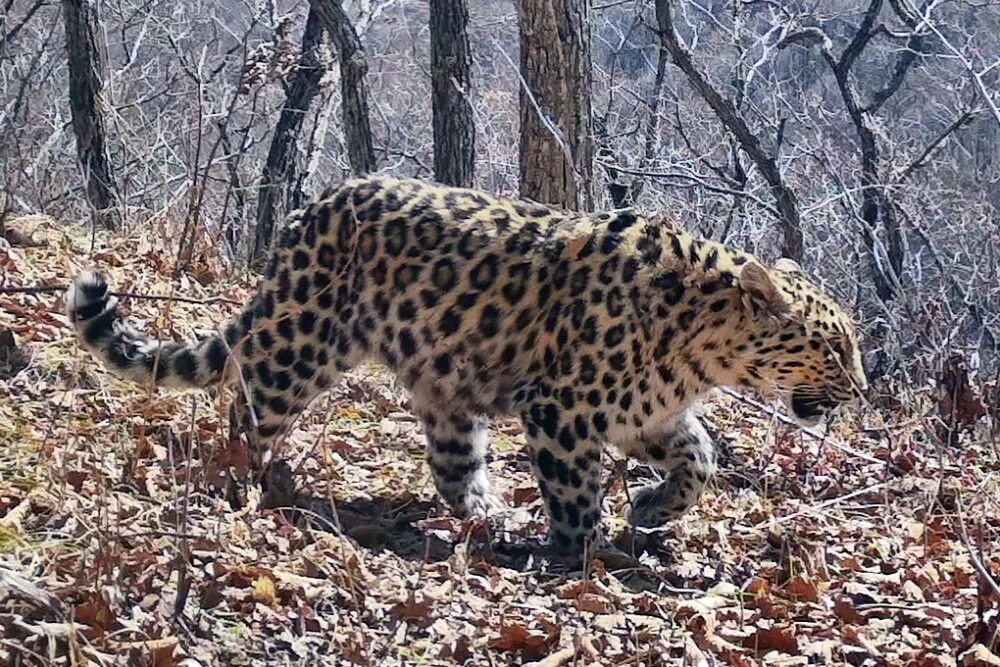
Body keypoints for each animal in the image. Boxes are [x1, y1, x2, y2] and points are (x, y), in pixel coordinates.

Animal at [68, 175, 868, 556]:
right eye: (832, 347)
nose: (861, 388)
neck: (701, 346)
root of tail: (307, 211)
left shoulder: (645, 413)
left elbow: (699, 460)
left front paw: (649, 509)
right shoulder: (564, 408)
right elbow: (576, 491)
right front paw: (583, 552)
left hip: (445, 381)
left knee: (453, 463)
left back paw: (488, 513)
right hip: (302, 341)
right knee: (248, 402)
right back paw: (252, 478)